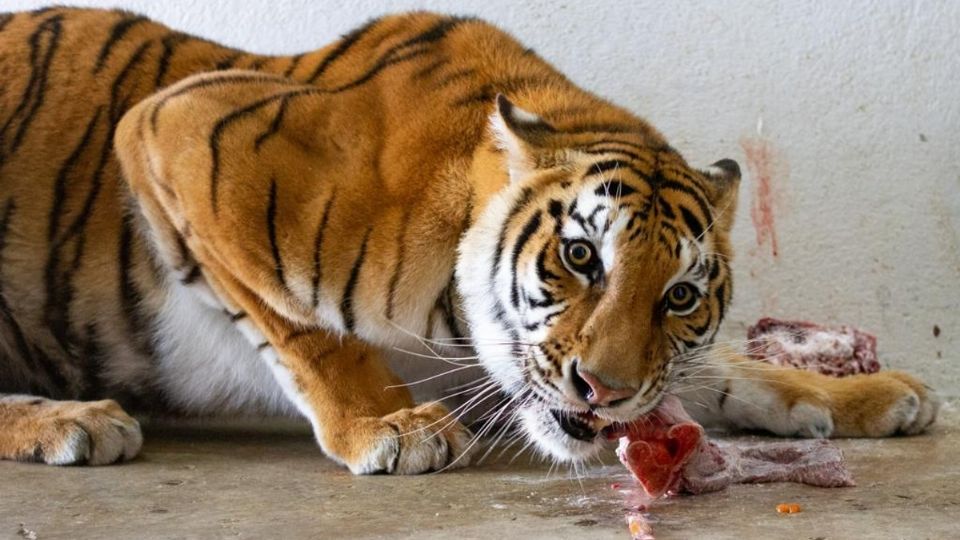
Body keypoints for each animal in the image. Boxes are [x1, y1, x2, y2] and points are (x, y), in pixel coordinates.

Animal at [0, 7, 936, 472]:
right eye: (581, 256)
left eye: (679, 296)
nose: (602, 391)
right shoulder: (175, 128)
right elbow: (303, 327)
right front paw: (390, 426)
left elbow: (728, 373)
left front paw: (875, 394)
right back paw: (71, 420)